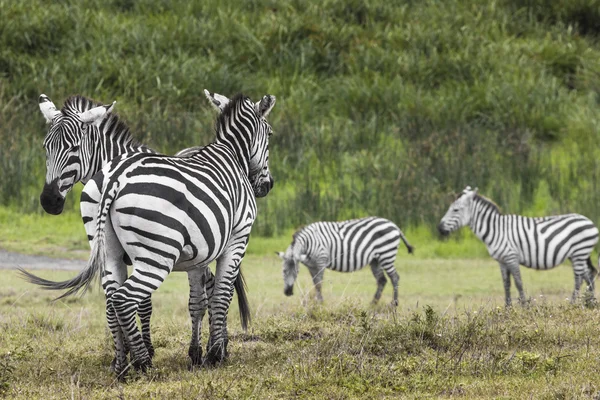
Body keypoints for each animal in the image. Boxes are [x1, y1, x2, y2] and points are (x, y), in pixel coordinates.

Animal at [21, 92, 276, 376]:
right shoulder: (236, 237)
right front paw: (191, 354)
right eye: (46, 147)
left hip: (143, 252)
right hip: (162, 254)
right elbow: (214, 295)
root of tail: (115, 178)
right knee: (126, 299)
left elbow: (170, 302)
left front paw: (152, 351)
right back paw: (145, 362)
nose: (49, 201)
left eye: (73, 148)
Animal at [276, 217, 412, 304]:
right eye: (283, 271)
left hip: (386, 254)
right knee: (382, 280)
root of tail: (394, 226)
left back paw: (394, 303)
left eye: (296, 272)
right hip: (375, 260)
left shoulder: (321, 261)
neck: (309, 243)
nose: (288, 292)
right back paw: (373, 304)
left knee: (394, 278)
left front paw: (320, 303)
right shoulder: (311, 266)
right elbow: (315, 283)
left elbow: (319, 284)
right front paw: (318, 302)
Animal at [436, 187, 600, 306]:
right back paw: (590, 303)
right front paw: (507, 308)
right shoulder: (502, 261)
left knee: (579, 279)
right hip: (577, 255)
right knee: (589, 275)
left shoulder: (511, 257)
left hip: (579, 252)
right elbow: (506, 284)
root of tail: (590, 222)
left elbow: (518, 283)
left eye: (455, 210)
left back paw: (572, 304)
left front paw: (524, 306)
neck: (496, 229)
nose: (439, 228)